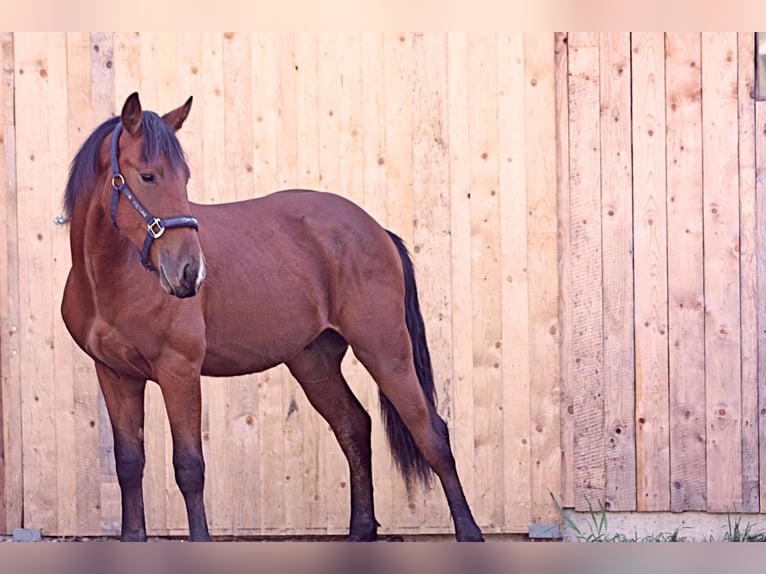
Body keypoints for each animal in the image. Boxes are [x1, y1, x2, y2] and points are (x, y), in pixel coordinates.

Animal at [61, 92, 483, 542]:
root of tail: (378, 231)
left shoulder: (179, 370)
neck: (111, 281)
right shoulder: (115, 374)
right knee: (354, 427)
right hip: (314, 362)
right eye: (147, 176)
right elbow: (129, 464)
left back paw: (469, 531)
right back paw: (360, 531)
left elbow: (189, 467)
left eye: (185, 177)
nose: (190, 273)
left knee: (430, 431)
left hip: (386, 352)